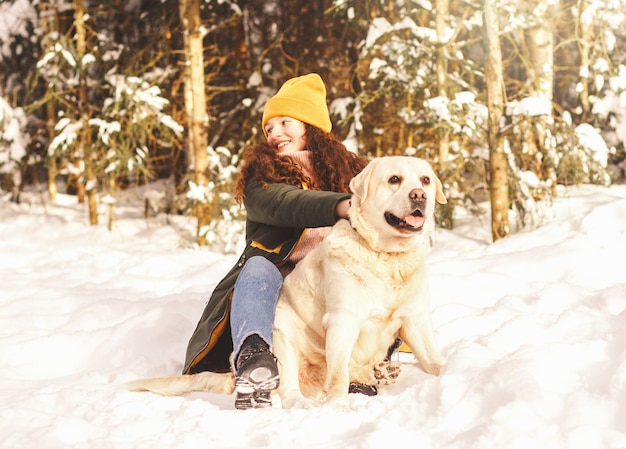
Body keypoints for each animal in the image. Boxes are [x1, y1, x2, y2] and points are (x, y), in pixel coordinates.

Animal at [127, 156, 446, 408]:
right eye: (394, 179)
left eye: (425, 180)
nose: (419, 195)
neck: (387, 257)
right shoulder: (343, 319)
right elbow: (337, 375)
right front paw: (339, 407)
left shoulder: (415, 319)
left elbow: (433, 360)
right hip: (283, 339)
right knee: (291, 389)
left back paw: (381, 372)